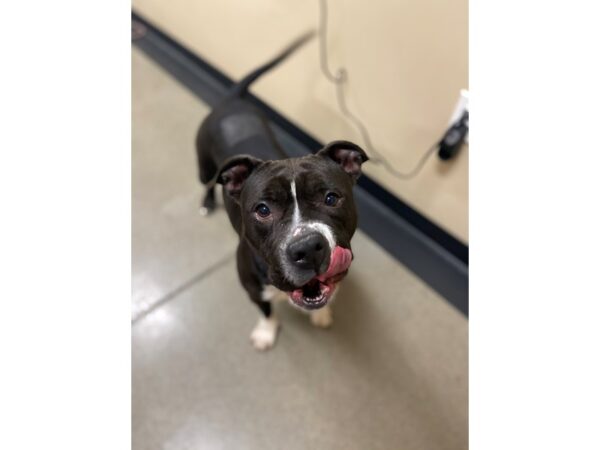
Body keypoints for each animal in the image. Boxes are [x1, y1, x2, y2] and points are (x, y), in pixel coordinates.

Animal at [195, 31, 368, 350]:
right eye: (263, 210)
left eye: (331, 198)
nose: (308, 248)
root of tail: (231, 100)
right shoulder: (252, 289)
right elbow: (266, 309)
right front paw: (266, 331)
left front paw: (321, 315)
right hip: (204, 166)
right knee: (207, 183)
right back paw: (207, 202)